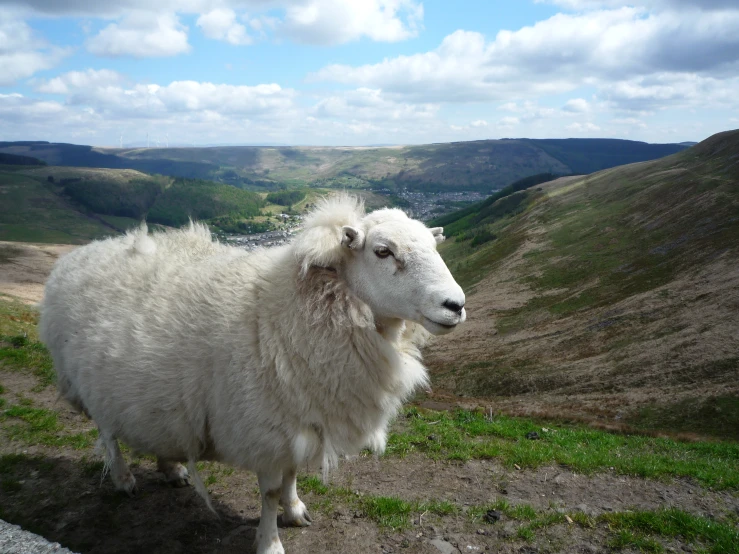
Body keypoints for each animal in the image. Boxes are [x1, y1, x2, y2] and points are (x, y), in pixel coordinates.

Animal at [37, 194, 466, 552]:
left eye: (434, 248)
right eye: (383, 251)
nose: (455, 305)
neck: (290, 308)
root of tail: (83, 252)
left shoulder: (298, 419)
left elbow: (292, 475)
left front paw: (296, 510)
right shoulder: (265, 427)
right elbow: (271, 492)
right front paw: (270, 542)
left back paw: (171, 467)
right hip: (88, 380)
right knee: (107, 434)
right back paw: (123, 479)